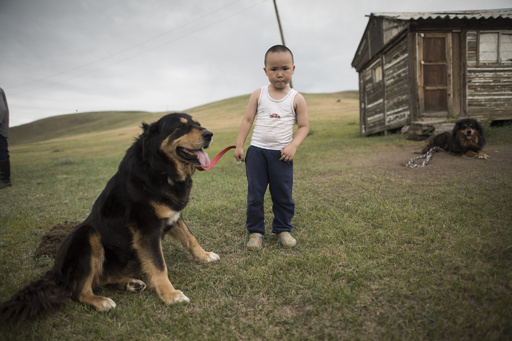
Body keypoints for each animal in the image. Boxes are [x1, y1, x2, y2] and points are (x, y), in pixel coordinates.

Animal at [0, 112, 218, 322]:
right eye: (180, 126)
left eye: (198, 124)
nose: (209, 134)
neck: (159, 168)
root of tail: (55, 273)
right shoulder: (147, 229)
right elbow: (158, 265)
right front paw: (170, 295)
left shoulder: (173, 216)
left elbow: (190, 239)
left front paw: (205, 256)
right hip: (86, 234)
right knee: (78, 291)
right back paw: (102, 302)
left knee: (99, 279)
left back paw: (130, 283)